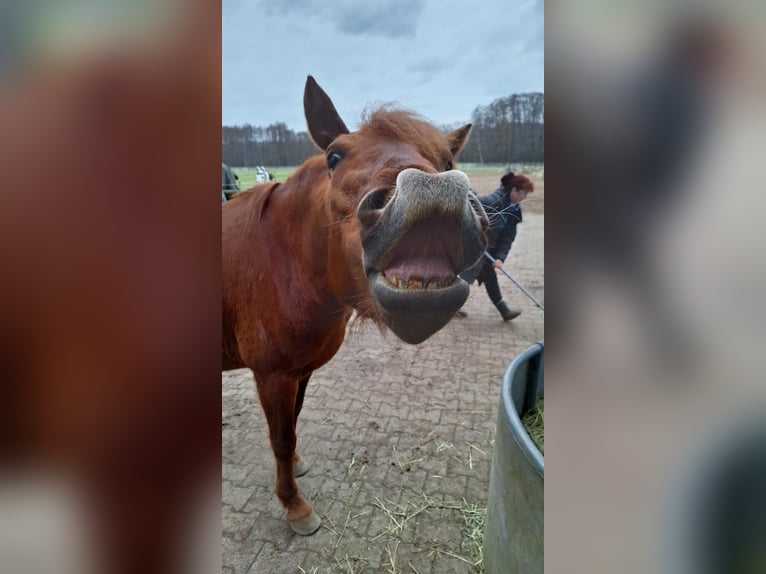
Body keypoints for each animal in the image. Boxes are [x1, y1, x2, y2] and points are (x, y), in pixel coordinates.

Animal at [222, 76, 488, 536]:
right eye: (334, 156)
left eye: (446, 158)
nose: (434, 194)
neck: (281, 259)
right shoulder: (271, 375)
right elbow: (281, 437)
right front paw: (294, 504)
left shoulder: (299, 371)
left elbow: (293, 425)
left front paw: (296, 468)